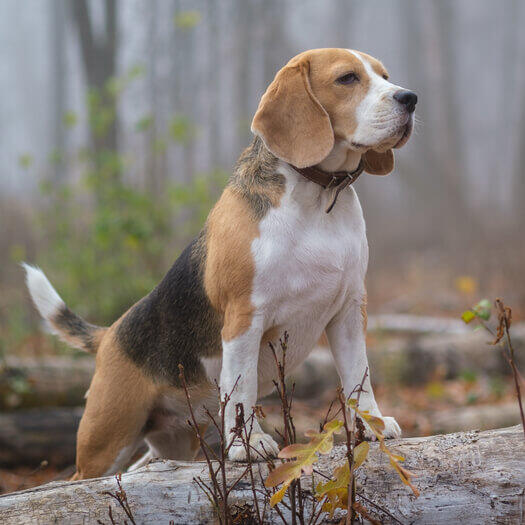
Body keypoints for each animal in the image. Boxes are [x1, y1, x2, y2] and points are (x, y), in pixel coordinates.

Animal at [23, 49, 418, 478]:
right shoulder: (244, 318)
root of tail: (109, 333)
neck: (318, 198)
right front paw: (249, 445)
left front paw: (371, 425)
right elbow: (242, 387)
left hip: (174, 442)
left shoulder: (348, 311)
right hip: (106, 441)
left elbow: (358, 375)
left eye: (385, 76)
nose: (410, 98)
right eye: (347, 78)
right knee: (82, 479)